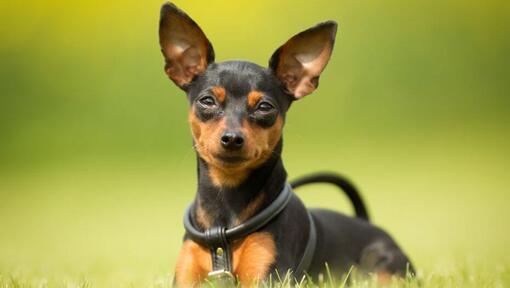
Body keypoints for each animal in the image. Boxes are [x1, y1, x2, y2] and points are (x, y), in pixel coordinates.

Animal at [158, 2, 414, 286]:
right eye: (207, 101)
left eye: (264, 107)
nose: (232, 138)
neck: (225, 209)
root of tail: (368, 224)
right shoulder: (185, 277)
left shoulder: (268, 276)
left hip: (384, 266)